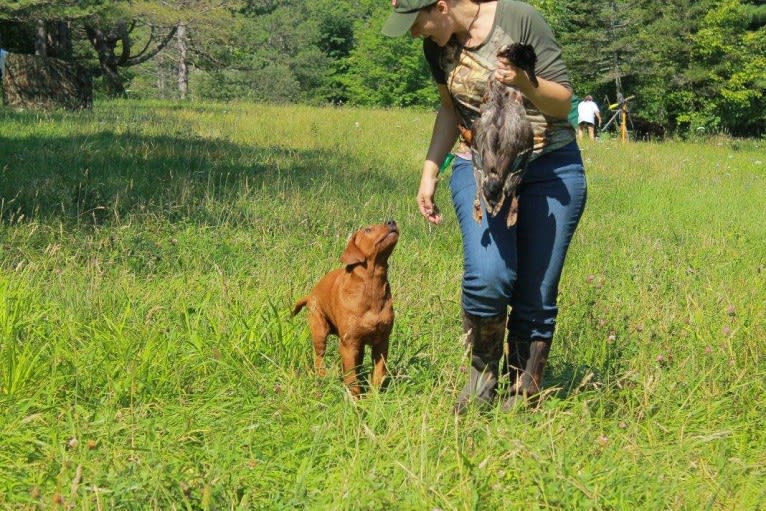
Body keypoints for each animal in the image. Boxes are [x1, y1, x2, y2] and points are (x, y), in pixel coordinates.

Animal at [292, 221, 400, 396]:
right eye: (368, 229)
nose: (391, 221)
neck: (371, 286)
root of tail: (310, 294)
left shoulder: (382, 342)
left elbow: (379, 373)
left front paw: (375, 397)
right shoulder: (348, 345)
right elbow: (351, 379)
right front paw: (356, 401)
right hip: (319, 330)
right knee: (319, 357)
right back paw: (323, 377)